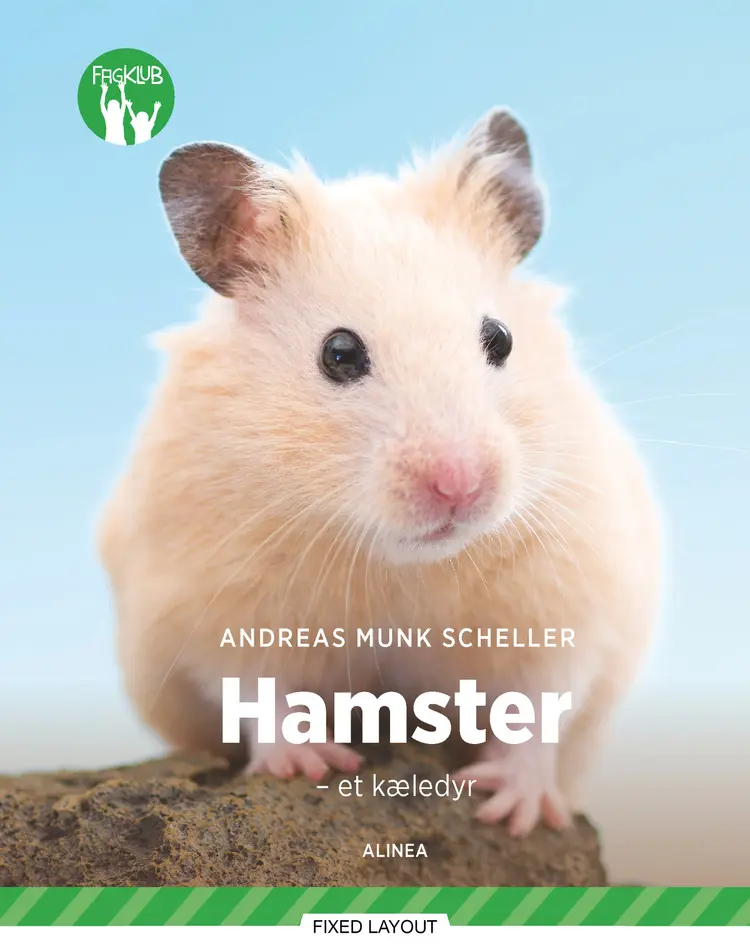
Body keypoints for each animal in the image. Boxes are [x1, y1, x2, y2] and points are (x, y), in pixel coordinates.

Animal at [98, 107, 662, 838]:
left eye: (501, 339)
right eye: (339, 353)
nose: (460, 487)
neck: (399, 562)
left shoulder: (572, 600)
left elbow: (540, 705)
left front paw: (513, 808)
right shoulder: (207, 601)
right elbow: (255, 688)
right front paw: (310, 765)